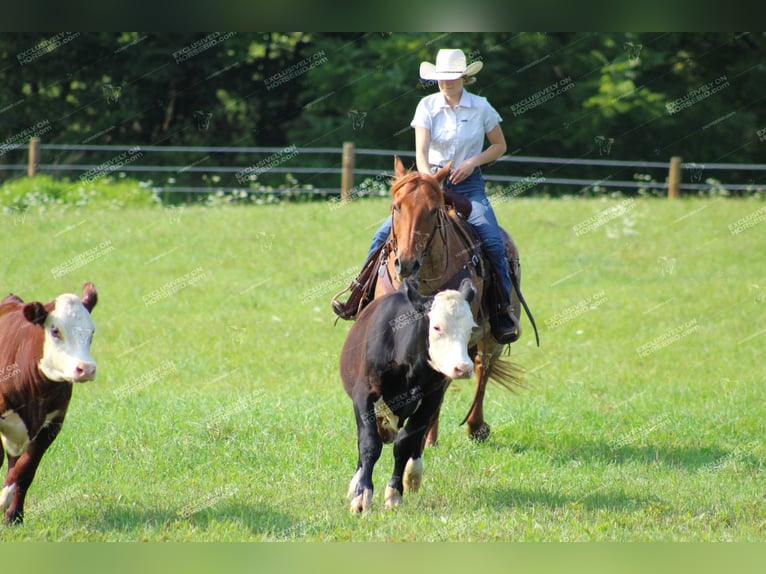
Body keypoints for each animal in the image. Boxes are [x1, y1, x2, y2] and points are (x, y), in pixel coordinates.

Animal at [0, 284, 98, 528]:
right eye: (55, 331)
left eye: (91, 332)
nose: (86, 368)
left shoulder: (53, 424)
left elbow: (26, 470)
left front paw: (13, 515)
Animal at [374, 158, 540, 446]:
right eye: (396, 206)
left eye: (432, 211)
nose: (406, 263)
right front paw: (385, 425)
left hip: (493, 337)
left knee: (483, 367)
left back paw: (473, 427)